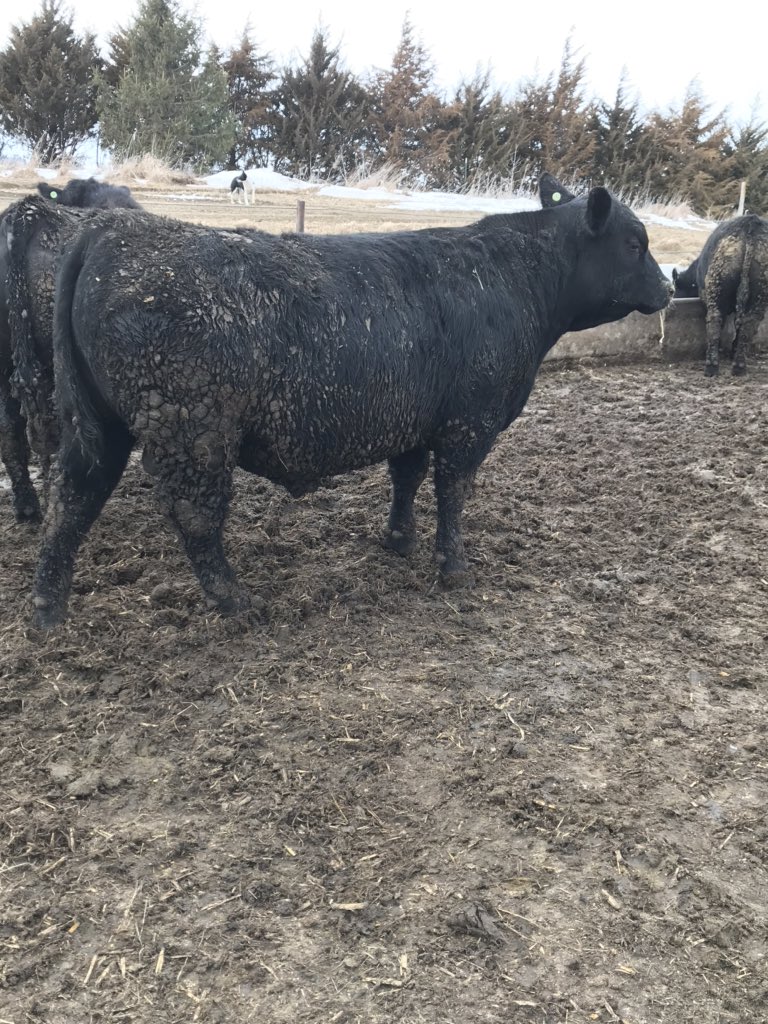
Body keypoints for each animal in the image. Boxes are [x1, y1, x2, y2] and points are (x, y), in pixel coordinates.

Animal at [30, 175, 671, 627]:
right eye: (634, 243)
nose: (668, 287)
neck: (515, 281)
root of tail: (111, 232)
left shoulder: (417, 421)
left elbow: (407, 477)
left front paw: (399, 541)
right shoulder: (470, 423)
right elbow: (453, 493)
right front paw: (454, 568)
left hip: (98, 425)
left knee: (71, 500)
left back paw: (48, 614)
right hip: (192, 432)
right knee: (193, 516)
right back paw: (236, 602)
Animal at [672, 214, 768, 376]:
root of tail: (751, 223)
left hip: (716, 288)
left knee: (715, 320)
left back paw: (711, 366)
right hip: (759, 292)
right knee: (748, 324)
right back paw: (739, 366)